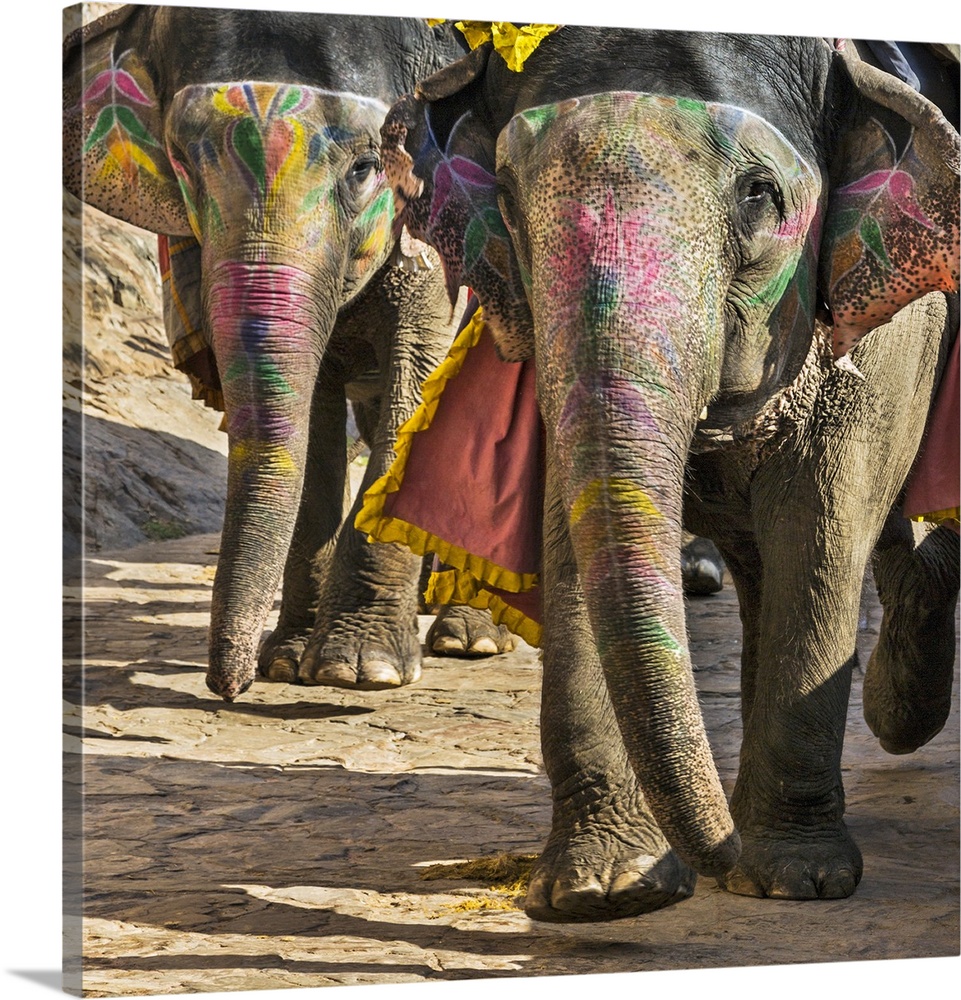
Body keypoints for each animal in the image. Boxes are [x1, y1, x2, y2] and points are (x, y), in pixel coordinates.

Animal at [63, 1, 524, 704]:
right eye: (180, 162)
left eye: (364, 167)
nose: (230, 687)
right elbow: (315, 417)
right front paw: (287, 660)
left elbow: (415, 380)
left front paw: (358, 671)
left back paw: (469, 637)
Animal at [370, 25, 960, 920]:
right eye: (506, 194)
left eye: (760, 195)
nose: (717, 859)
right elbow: (574, 522)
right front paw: (605, 890)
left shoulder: (891, 322)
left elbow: (823, 520)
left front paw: (798, 880)